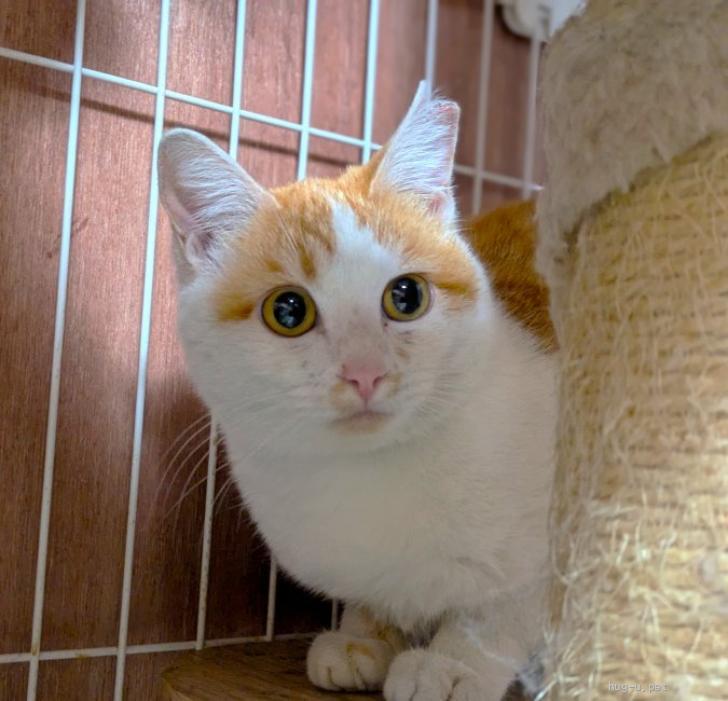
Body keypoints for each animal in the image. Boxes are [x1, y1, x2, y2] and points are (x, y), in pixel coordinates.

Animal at [157, 82, 557, 701]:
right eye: (288, 311)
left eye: (406, 296)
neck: (369, 477)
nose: (364, 372)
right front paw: (363, 634)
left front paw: (455, 662)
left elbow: (505, 607)